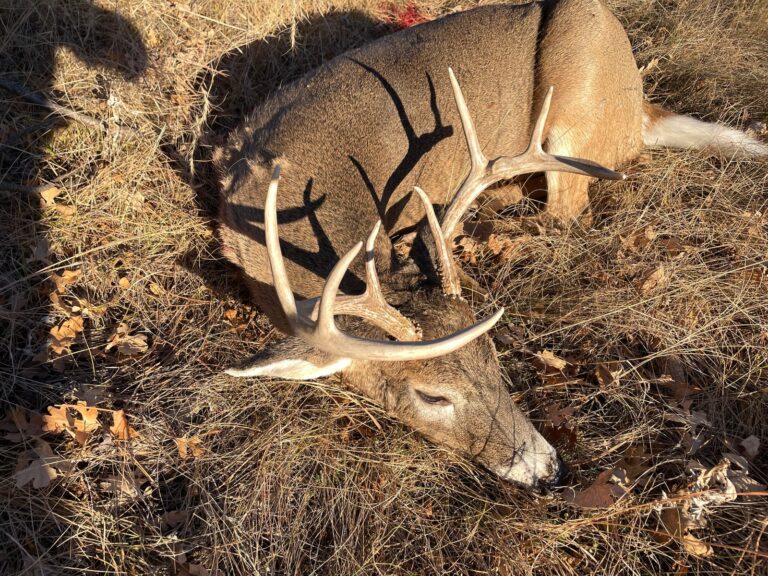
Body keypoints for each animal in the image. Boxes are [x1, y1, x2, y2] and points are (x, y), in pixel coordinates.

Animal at [214, 0, 767, 489]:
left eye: (492, 358)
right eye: (433, 397)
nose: (549, 469)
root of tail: (640, 107)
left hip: (578, 82)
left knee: (567, 212)